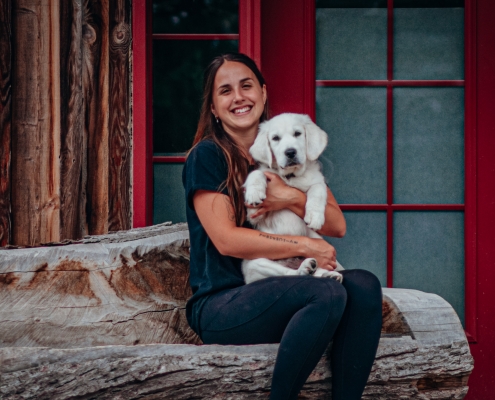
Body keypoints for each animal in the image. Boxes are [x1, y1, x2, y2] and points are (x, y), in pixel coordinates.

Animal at [243, 112, 344, 284]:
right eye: (275, 138)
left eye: (297, 133)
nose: (290, 152)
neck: (290, 177)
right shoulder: (255, 215)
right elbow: (258, 172)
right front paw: (254, 192)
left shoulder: (317, 180)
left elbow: (317, 190)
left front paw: (315, 217)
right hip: (255, 262)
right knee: (288, 273)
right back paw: (305, 268)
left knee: (316, 271)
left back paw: (327, 274)